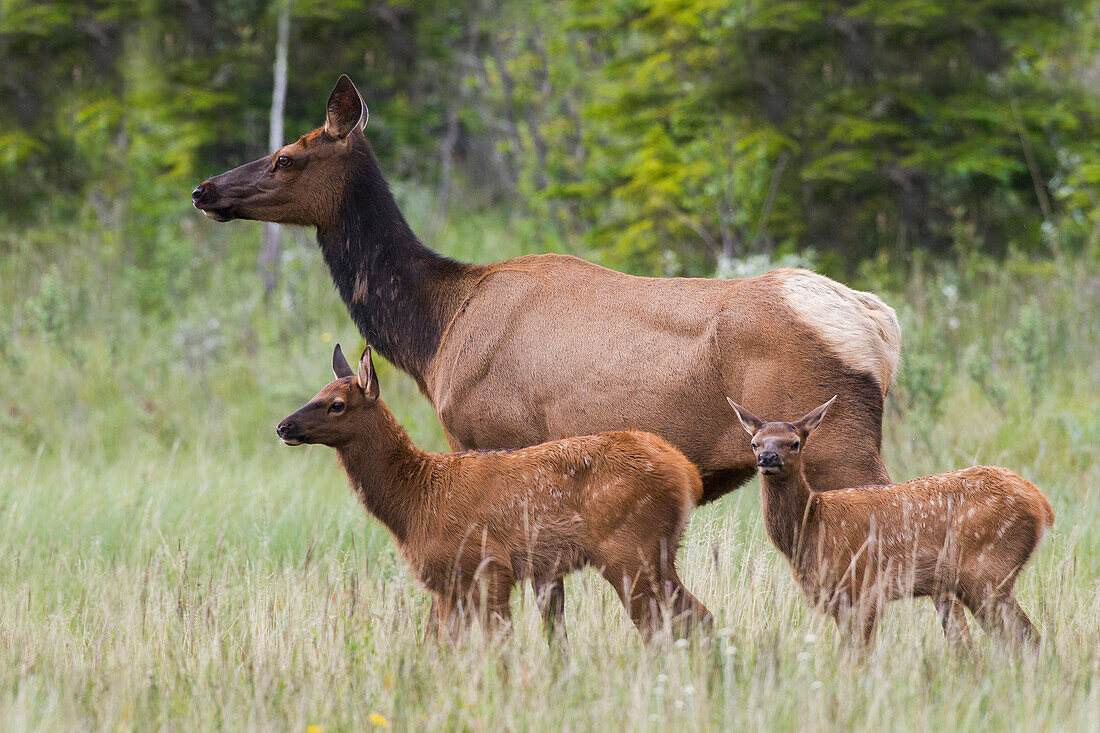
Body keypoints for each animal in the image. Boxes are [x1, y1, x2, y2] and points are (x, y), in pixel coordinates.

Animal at [270, 345, 708, 638]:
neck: (414, 501)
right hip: (656, 553)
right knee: (698, 616)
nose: (283, 426)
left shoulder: (489, 565)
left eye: (337, 404)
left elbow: (499, 646)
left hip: (629, 550)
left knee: (662, 626)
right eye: (317, 393)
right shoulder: (448, 585)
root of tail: (685, 472)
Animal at [726, 394, 1051, 647]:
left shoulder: (864, 587)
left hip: (987, 569)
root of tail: (1042, 504)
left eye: (794, 443)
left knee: (1027, 638)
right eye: (754, 443)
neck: (812, 527)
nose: (768, 458)